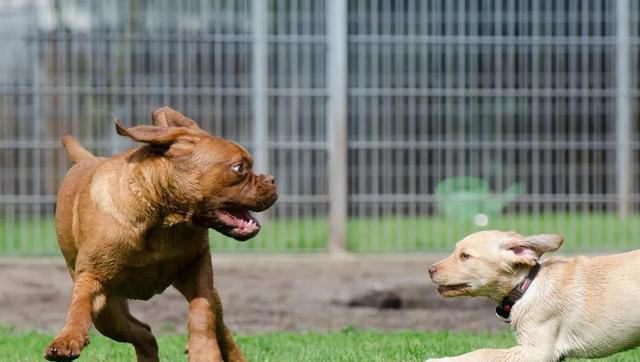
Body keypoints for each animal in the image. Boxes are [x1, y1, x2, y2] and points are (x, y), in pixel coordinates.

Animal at [43, 106, 276, 360]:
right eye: (240, 168)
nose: (272, 180)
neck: (163, 219)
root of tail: (89, 158)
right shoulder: (92, 278)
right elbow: (79, 307)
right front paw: (68, 338)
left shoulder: (199, 270)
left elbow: (202, 313)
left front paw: (203, 350)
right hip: (109, 314)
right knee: (142, 332)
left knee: (220, 330)